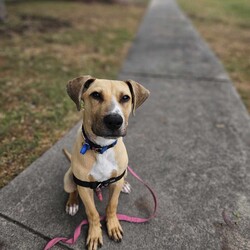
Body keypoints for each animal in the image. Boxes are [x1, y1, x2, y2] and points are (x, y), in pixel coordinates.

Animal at [63, 76, 149, 250]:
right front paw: (95, 233)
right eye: (96, 95)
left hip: (124, 172)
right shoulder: (84, 187)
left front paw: (113, 225)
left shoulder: (115, 183)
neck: (101, 148)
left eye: (125, 98)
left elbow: (112, 206)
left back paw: (124, 185)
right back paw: (72, 204)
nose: (114, 121)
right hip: (68, 178)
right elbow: (92, 213)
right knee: (72, 189)